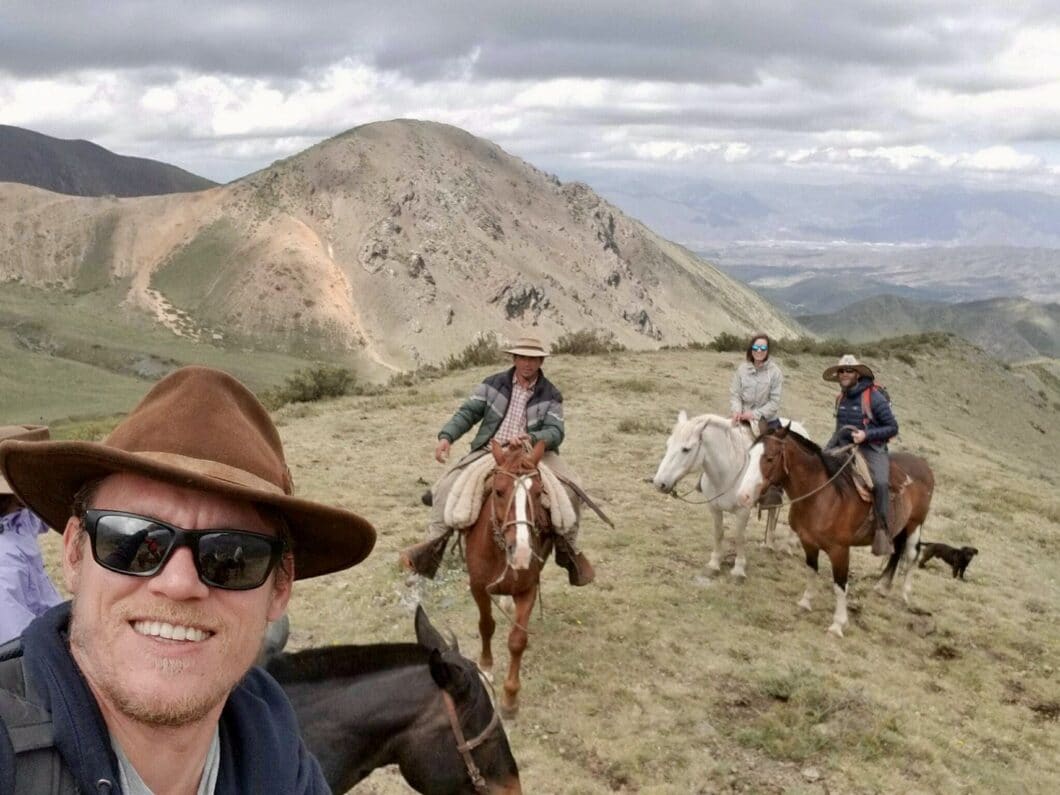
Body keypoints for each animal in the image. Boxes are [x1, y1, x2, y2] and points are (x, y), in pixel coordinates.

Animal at [470, 438, 559, 720]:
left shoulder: (528, 590)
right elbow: (486, 625)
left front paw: (510, 698)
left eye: (539, 492)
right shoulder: (478, 587)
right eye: (498, 491)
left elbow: (517, 641)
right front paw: (485, 668)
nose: (521, 552)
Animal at [648, 411, 805, 580]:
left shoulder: (743, 511)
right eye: (668, 445)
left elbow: (739, 537)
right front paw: (714, 563)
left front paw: (739, 569)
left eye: (686, 449)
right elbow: (719, 533)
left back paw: (788, 546)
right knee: (772, 511)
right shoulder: (714, 508)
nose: (659, 483)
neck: (727, 473)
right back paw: (768, 543)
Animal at [737, 426, 937, 640]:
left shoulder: (840, 550)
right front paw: (805, 602)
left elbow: (840, 585)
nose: (743, 495)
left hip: (915, 523)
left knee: (912, 554)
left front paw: (838, 624)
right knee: (897, 550)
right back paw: (883, 587)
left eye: (770, 458)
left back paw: (906, 595)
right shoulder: (808, 542)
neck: (822, 495)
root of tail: (924, 465)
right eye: (750, 454)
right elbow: (812, 570)